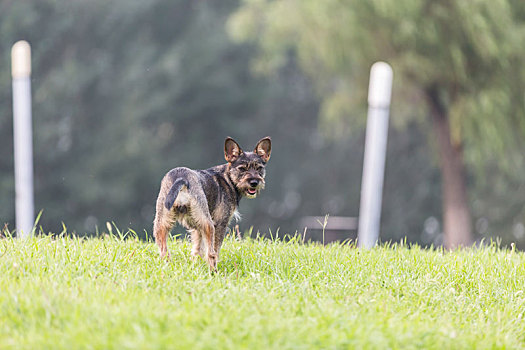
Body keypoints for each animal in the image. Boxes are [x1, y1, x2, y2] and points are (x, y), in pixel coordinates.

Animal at [152, 138, 270, 270]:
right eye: (242, 169)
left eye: (259, 168)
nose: (254, 182)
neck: (228, 178)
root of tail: (181, 178)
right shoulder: (220, 224)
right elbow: (215, 248)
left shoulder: (196, 228)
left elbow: (197, 249)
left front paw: (195, 264)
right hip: (208, 224)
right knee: (211, 253)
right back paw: (214, 270)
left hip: (161, 223)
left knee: (164, 251)